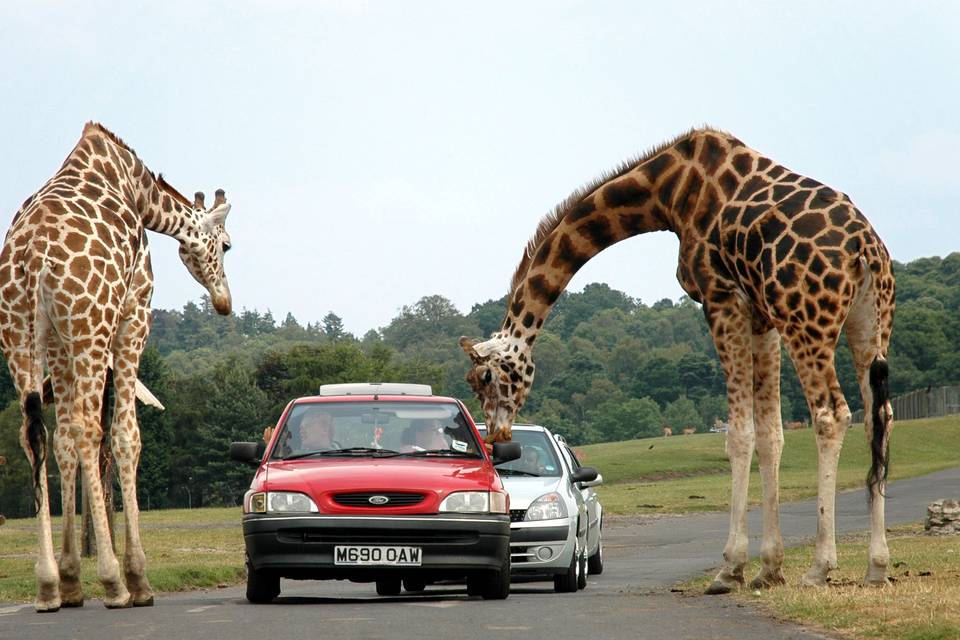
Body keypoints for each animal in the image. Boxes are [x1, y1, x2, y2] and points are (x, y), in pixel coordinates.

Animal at [0, 122, 232, 612]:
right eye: (227, 244)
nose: (225, 302)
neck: (139, 191)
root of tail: (32, 259)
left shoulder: (59, 343)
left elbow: (62, 442)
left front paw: (70, 579)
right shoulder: (133, 314)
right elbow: (126, 436)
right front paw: (137, 577)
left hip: (20, 334)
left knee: (36, 433)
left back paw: (47, 586)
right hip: (90, 327)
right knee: (90, 429)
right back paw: (114, 583)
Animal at [462, 127, 896, 592]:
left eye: (484, 377)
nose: (498, 437)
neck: (667, 192)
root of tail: (865, 249)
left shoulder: (721, 297)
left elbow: (738, 434)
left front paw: (731, 568)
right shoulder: (760, 314)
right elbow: (770, 435)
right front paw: (769, 568)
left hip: (805, 319)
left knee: (831, 414)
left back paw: (820, 567)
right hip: (869, 323)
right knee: (878, 417)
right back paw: (877, 566)